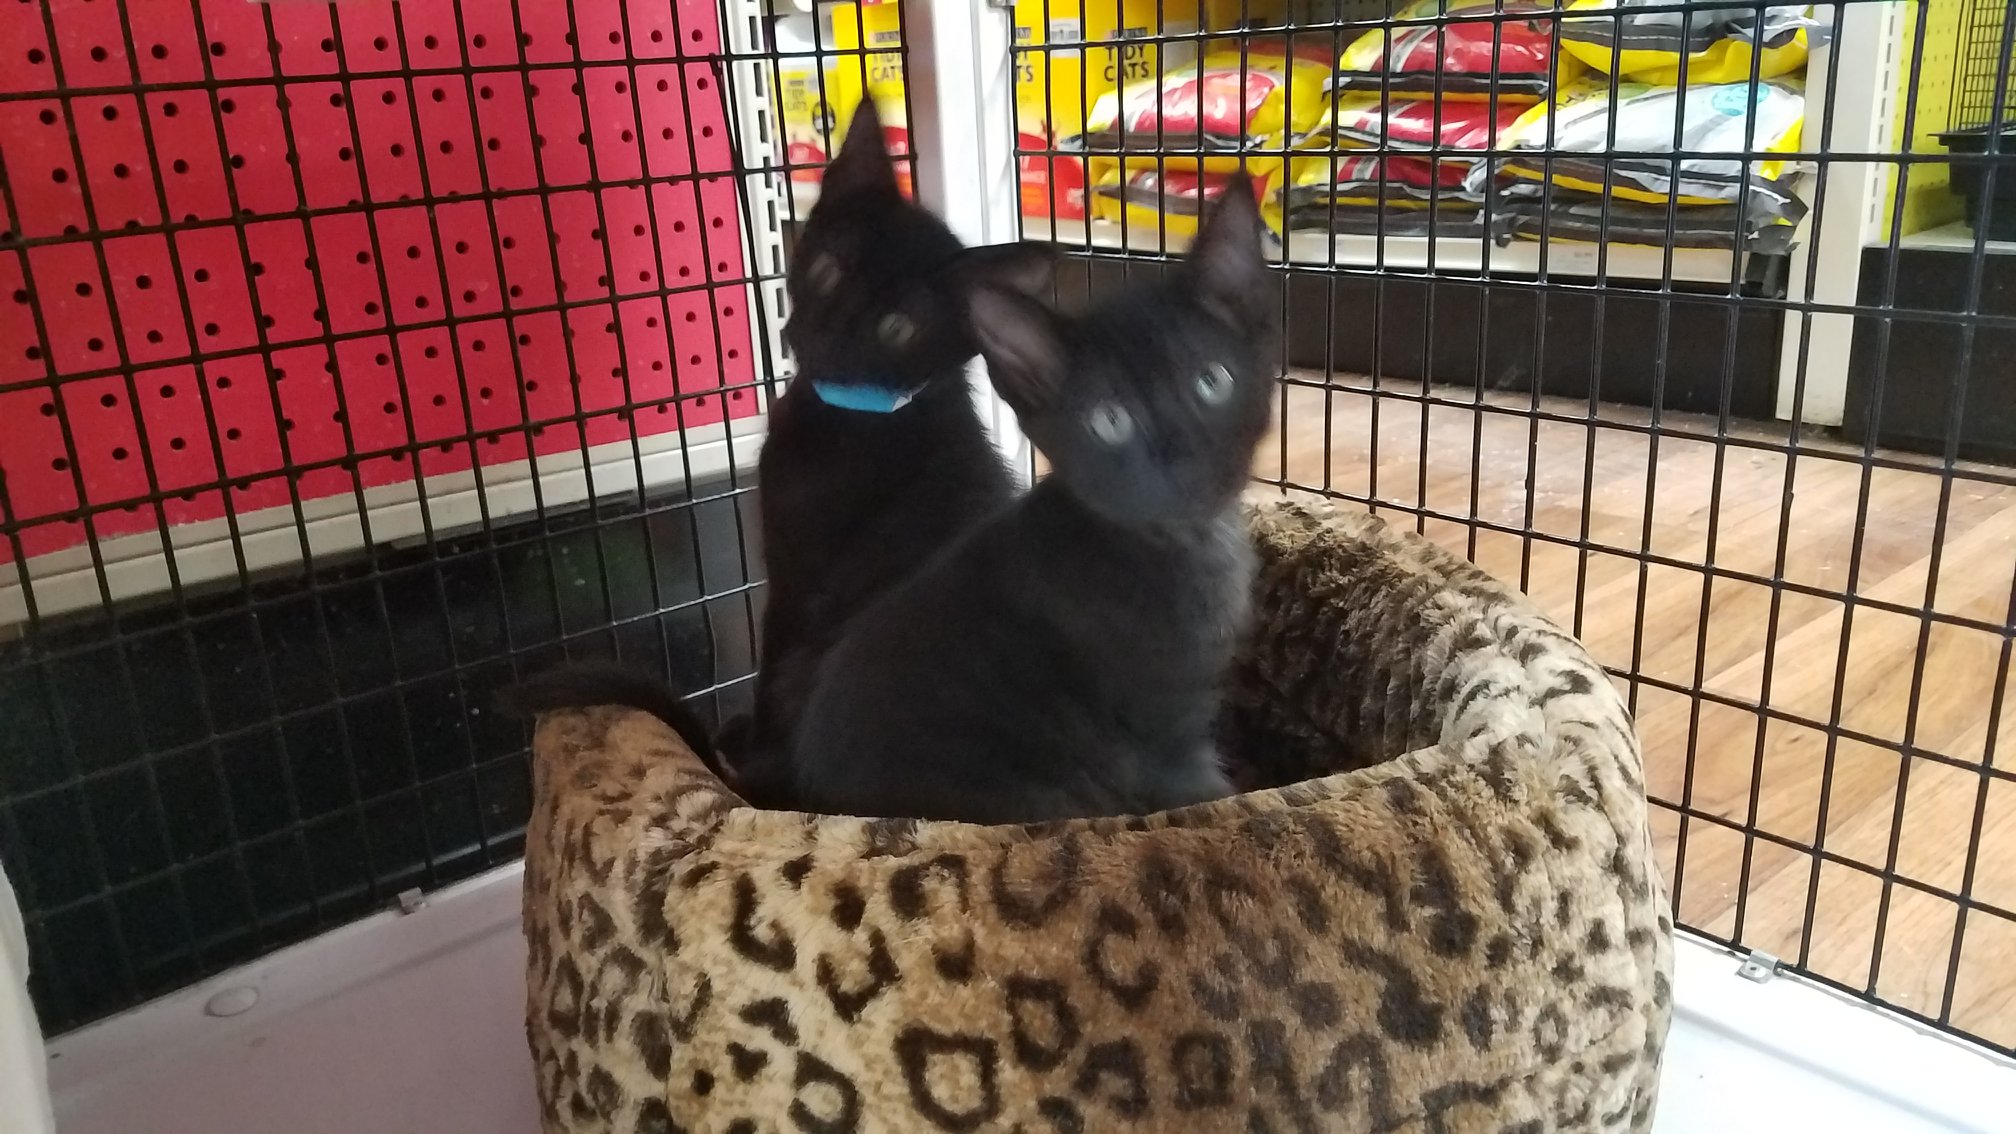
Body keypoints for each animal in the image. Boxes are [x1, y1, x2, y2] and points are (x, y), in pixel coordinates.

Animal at [500, 100, 1054, 803]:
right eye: (828, 270)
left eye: (898, 327)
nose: (823, 334)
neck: (860, 413)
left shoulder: (795, 580)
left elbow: (769, 664)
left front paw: (749, 739)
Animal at [785, 178, 1278, 825]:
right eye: (1110, 422)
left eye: (1212, 382)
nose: (1184, 462)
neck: (1187, 544)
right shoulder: (1168, 748)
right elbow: (1218, 799)